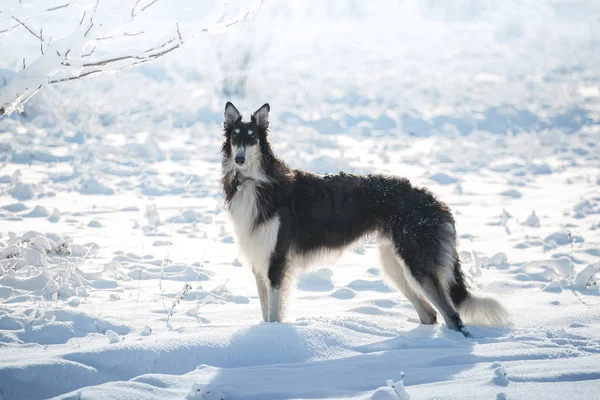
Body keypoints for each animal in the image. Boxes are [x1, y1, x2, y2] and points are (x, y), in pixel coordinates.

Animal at [220, 101, 510, 336]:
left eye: (253, 139)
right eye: (235, 137)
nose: (240, 158)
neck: (256, 182)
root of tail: (436, 202)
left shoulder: (277, 261)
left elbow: (273, 314)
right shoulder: (260, 262)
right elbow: (266, 313)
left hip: (416, 265)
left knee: (454, 318)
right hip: (394, 265)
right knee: (430, 314)